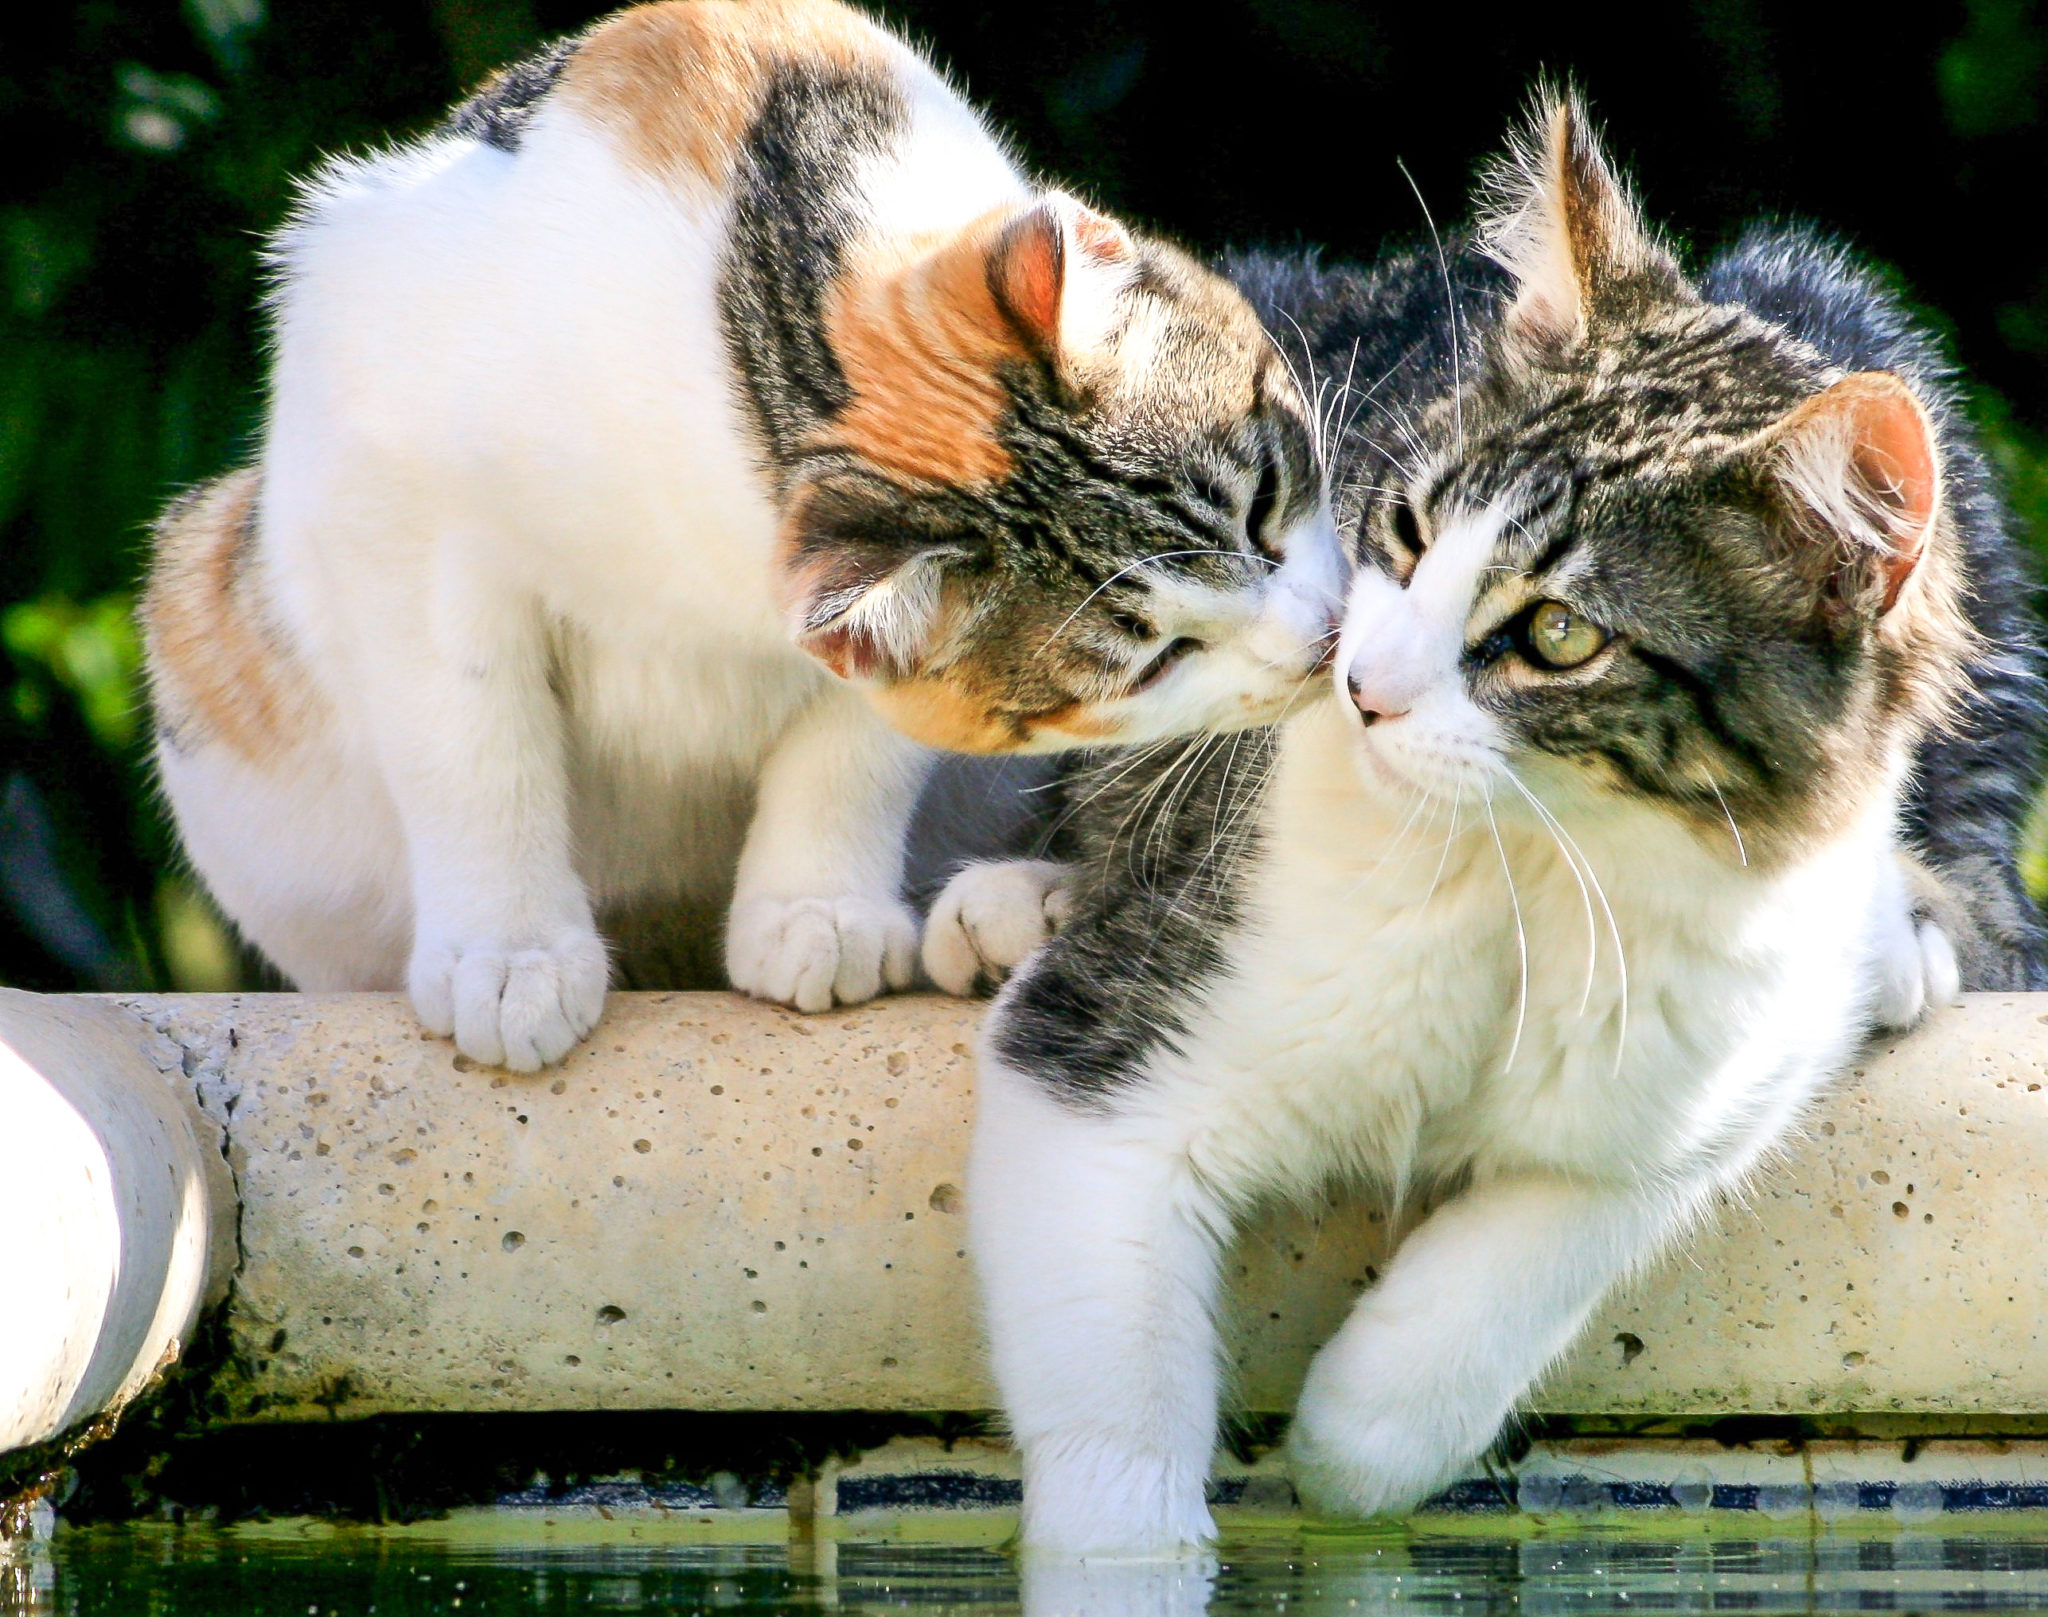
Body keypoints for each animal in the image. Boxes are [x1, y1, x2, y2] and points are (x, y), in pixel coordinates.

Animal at [140, 3, 1327, 1072]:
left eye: (1268, 499)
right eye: (1157, 661)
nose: (1321, 641)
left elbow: (857, 746)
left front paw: (818, 909)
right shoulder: (394, 507)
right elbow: (471, 746)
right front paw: (507, 951)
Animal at [925, 98, 2031, 1555]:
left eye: (1558, 634)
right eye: (1401, 527)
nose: (1357, 682)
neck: (1529, 866)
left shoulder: (1728, 1047)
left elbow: (1572, 1223)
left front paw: (1356, 1431)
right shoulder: (1104, 1064)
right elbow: (1113, 1422)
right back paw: (1022, 898)